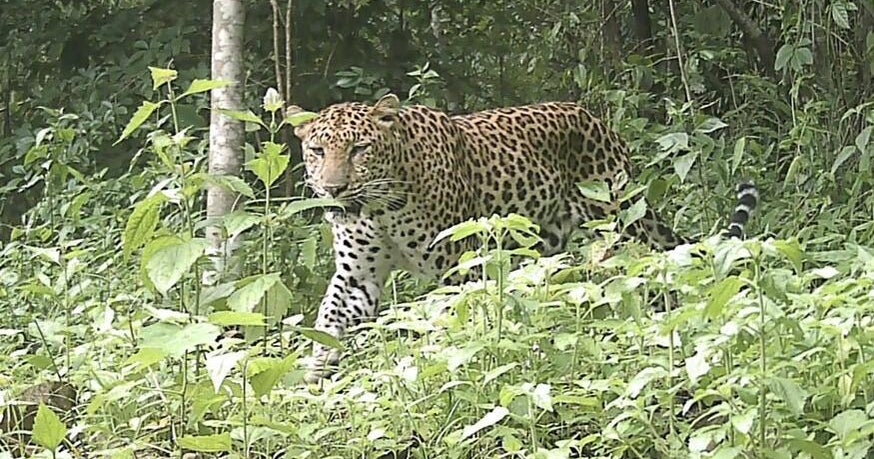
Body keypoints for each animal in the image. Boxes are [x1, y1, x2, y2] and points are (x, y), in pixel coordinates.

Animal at [288, 94, 758, 383]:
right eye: (317, 151)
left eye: (360, 149)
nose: (333, 189)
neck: (379, 205)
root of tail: (599, 123)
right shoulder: (357, 277)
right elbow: (328, 323)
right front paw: (312, 384)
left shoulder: (458, 267)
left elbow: (452, 326)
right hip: (541, 244)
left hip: (619, 225)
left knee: (649, 272)